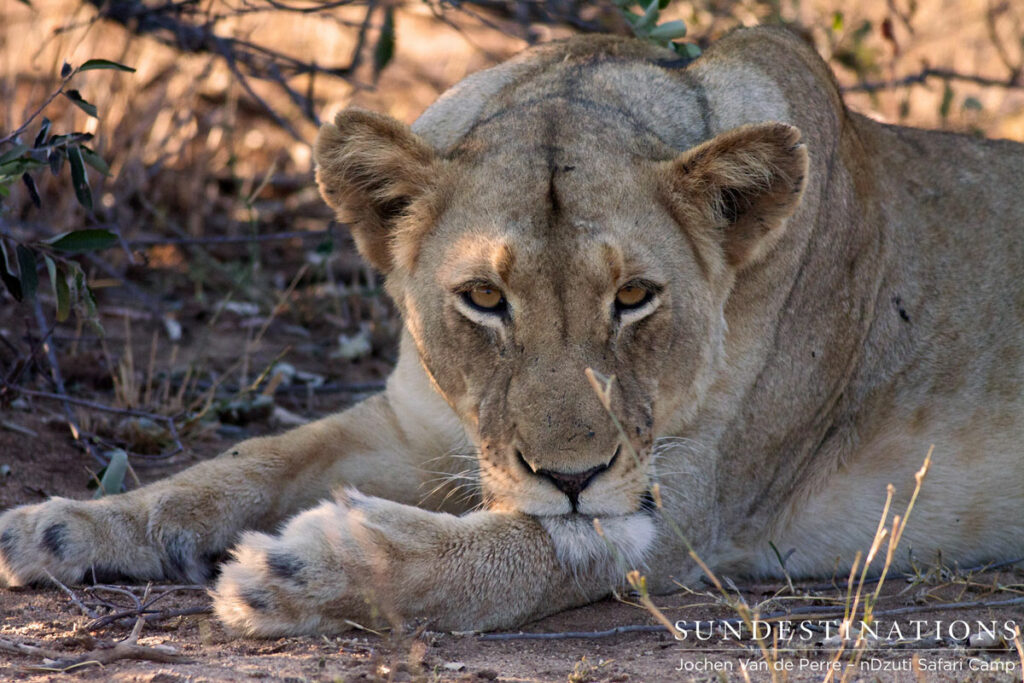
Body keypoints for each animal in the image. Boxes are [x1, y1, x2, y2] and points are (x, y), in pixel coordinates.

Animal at [2, 26, 1023, 637]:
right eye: (485, 298)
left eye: (636, 296)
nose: (571, 475)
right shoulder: (408, 425)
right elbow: (237, 467)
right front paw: (67, 526)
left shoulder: (681, 508)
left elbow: (514, 550)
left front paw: (298, 570)